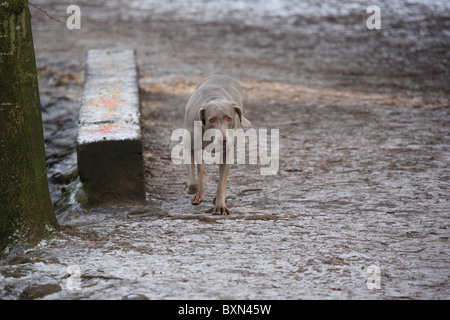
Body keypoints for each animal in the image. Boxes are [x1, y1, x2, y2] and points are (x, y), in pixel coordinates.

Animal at [185, 75, 251, 215]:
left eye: (228, 118)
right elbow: (195, 179)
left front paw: (220, 206)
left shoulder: (227, 153)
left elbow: (222, 182)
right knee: (200, 169)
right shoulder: (190, 146)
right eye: (212, 120)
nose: (224, 140)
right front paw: (193, 189)